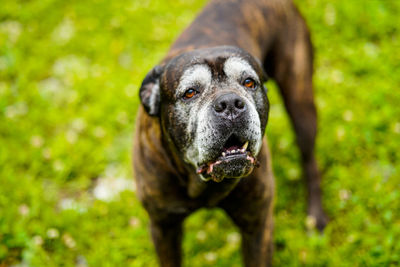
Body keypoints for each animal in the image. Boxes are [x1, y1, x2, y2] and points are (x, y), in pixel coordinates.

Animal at [133, 0, 326, 267]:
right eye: (190, 92)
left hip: (300, 99)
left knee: (309, 159)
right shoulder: (164, 228)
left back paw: (315, 216)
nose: (230, 103)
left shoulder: (257, 227)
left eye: (249, 82)